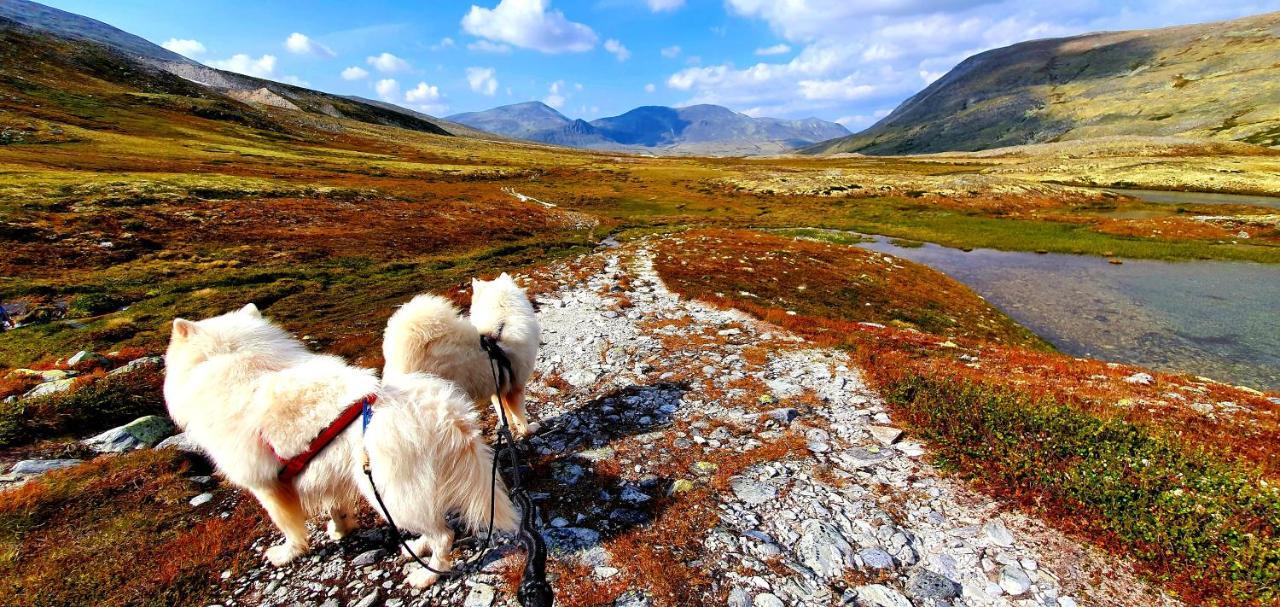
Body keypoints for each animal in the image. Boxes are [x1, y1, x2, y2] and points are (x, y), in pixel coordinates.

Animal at [163, 306, 514, 586]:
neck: (240, 364)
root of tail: (448, 415)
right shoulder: (324, 472)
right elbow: (335, 506)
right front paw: (340, 528)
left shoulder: (268, 486)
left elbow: (288, 526)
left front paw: (285, 553)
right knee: (432, 528)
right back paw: (418, 548)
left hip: (388, 493)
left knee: (443, 535)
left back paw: (426, 574)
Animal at [378, 274, 540, 435]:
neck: (500, 327)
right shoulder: (516, 387)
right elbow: (519, 415)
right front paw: (527, 429)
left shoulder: (498, 387)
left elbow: (504, 413)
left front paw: (510, 428)